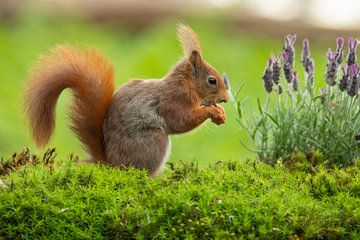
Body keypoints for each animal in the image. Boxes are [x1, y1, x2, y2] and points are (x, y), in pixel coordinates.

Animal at [23, 24, 228, 176]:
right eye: (212, 80)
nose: (225, 98)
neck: (186, 84)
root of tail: (110, 162)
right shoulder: (174, 100)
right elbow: (182, 121)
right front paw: (213, 111)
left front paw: (220, 112)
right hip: (153, 141)